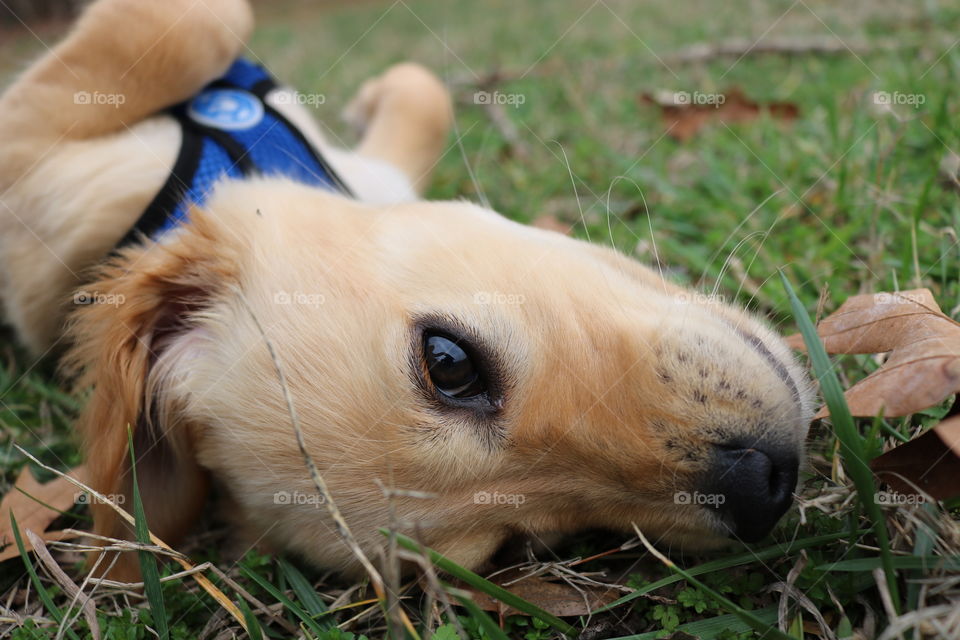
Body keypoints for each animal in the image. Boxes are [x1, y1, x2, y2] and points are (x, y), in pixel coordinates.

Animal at [0, 0, 808, 580]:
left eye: (446, 362)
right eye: (517, 548)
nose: (762, 484)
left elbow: (410, 89)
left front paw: (371, 95)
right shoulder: (25, 148)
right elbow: (183, 26)